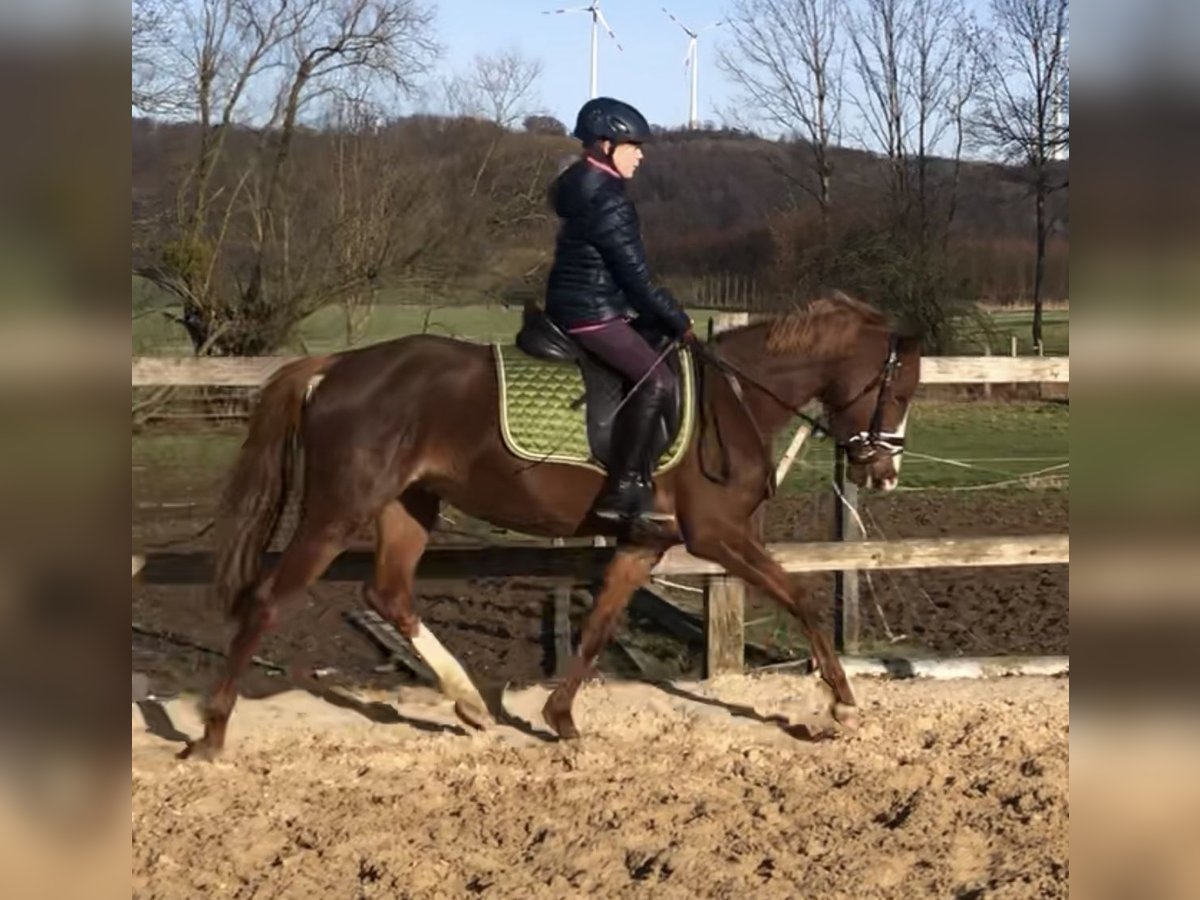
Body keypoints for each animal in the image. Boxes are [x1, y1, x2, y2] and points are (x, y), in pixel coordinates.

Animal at [182, 292, 921, 758]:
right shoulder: (717, 536)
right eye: (901, 389)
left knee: (387, 593)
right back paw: (213, 733)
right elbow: (799, 597)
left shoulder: (645, 542)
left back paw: (469, 704)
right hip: (339, 510)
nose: (882, 475)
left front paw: (561, 720)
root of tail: (337, 365)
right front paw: (842, 703)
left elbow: (598, 628)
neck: (733, 398)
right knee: (268, 600)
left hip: (407, 506)